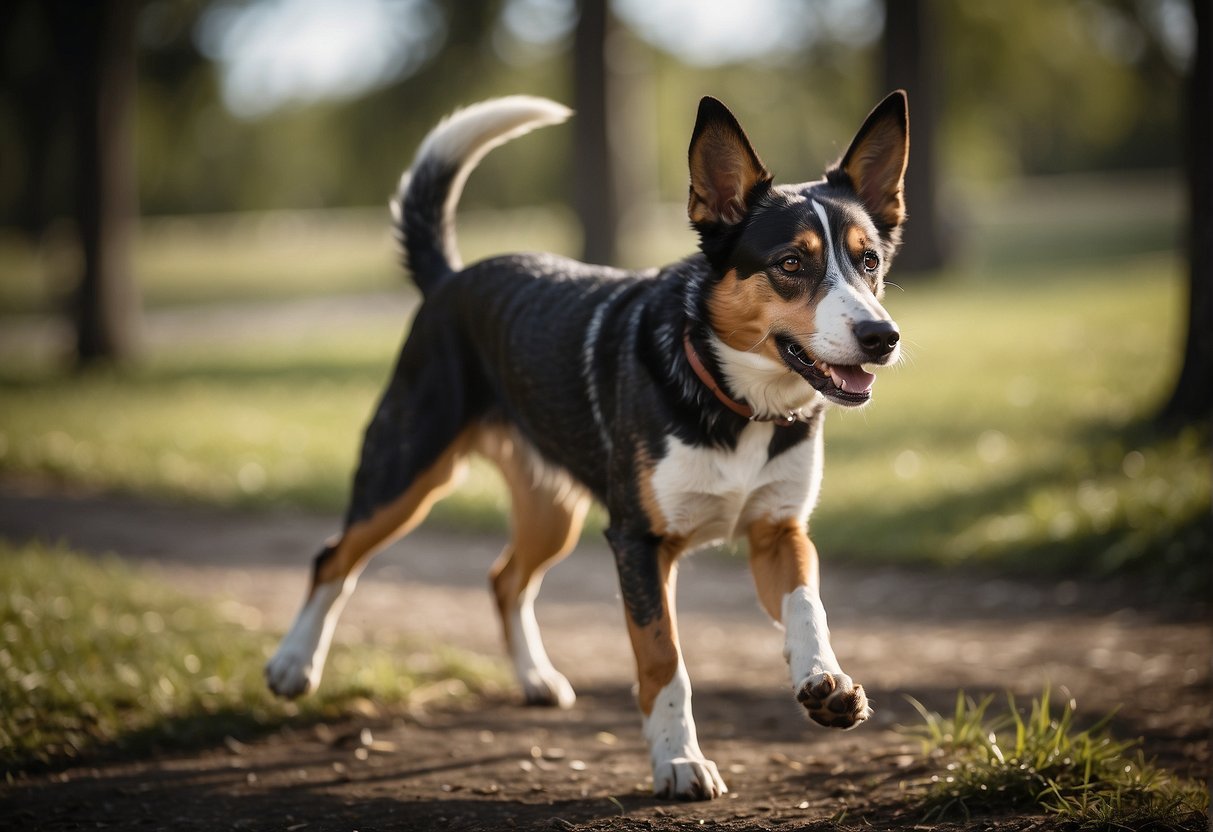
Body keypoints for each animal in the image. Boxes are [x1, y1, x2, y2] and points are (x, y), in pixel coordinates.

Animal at [268, 90, 912, 800]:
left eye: (869, 260)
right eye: (791, 264)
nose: (882, 336)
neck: (733, 400)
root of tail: (450, 280)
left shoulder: (778, 533)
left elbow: (807, 609)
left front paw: (825, 681)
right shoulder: (638, 542)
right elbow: (664, 660)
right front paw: (679, 761)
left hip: (553, 515)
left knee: (505, 579)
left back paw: (534, 678)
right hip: (405, 476)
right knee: (334, 558)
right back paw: (293, 665)